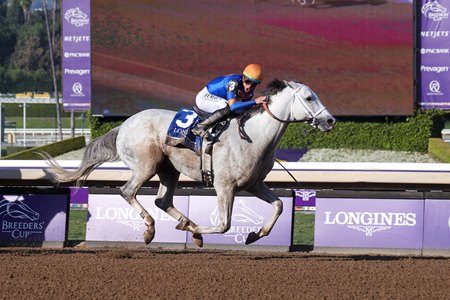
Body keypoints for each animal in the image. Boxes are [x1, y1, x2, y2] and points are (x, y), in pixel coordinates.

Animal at [43, 79, 334, 246]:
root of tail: (124, 124)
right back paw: (150, 230)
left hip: (168, 170)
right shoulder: (224, 186)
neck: (253, 137)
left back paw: (179, 222)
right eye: (309, 98)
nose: (330, 120)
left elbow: (279, 205)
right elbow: (224, 224)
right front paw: (195, 231)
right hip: (146, 166)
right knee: (127, 192)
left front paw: (254, 234)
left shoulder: (253, 184)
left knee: (163, 200)